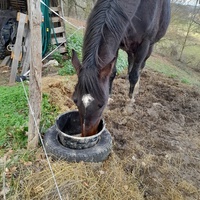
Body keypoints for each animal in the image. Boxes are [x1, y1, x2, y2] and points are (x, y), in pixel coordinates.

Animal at [71, 0, 170, 137]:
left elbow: (134, 75)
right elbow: (112, 73)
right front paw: (111, 96)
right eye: (75, 100)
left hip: (149, 47)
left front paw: (129, 105)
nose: (87, 135)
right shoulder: (117, 38)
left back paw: (134, 92)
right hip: (130, 49)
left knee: (139, 68)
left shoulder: (144, 43)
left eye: (101, 104)